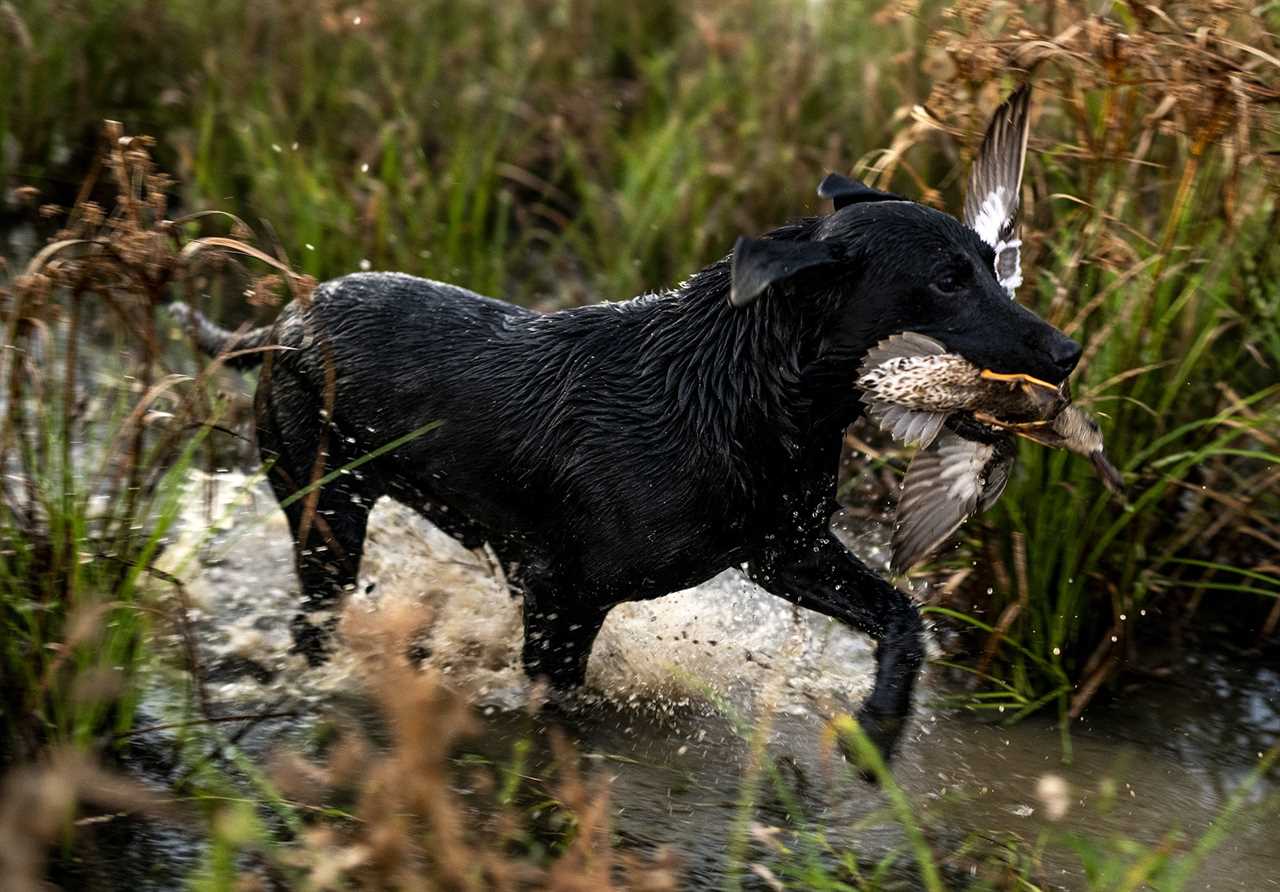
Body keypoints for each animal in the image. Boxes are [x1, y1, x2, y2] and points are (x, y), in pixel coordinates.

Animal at [177, 87, 1080, 757]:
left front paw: (881, 728)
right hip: (326, 511)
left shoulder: (785, 551)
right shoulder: (560, 595)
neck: (744, 395)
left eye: (989, 263)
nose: (1067, 351)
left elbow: (901, 616)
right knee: (313, 618)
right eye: (948, 279)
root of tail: (282, 322)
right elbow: (551, 701)